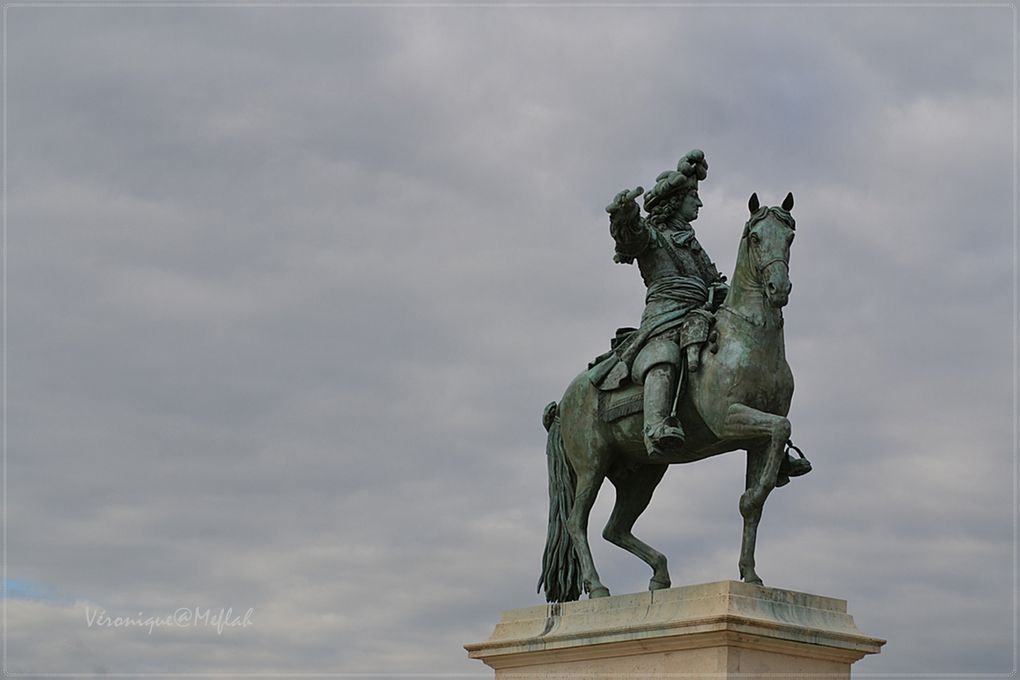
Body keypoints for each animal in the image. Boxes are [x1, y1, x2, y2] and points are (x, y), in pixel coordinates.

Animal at [542, 191, 803, 599]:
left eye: (790, 237)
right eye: (756, 237)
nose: (779, 289)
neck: (749, 338)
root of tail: (564, 401)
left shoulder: (756, 442)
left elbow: (755, 503)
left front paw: (750, 574)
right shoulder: (730, 420)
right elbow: (781, 428)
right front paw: (626, 208)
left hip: (643, 473)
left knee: (615, 528)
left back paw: (660, 575)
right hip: (592, 465)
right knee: (576, 522)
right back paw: (598, 587)